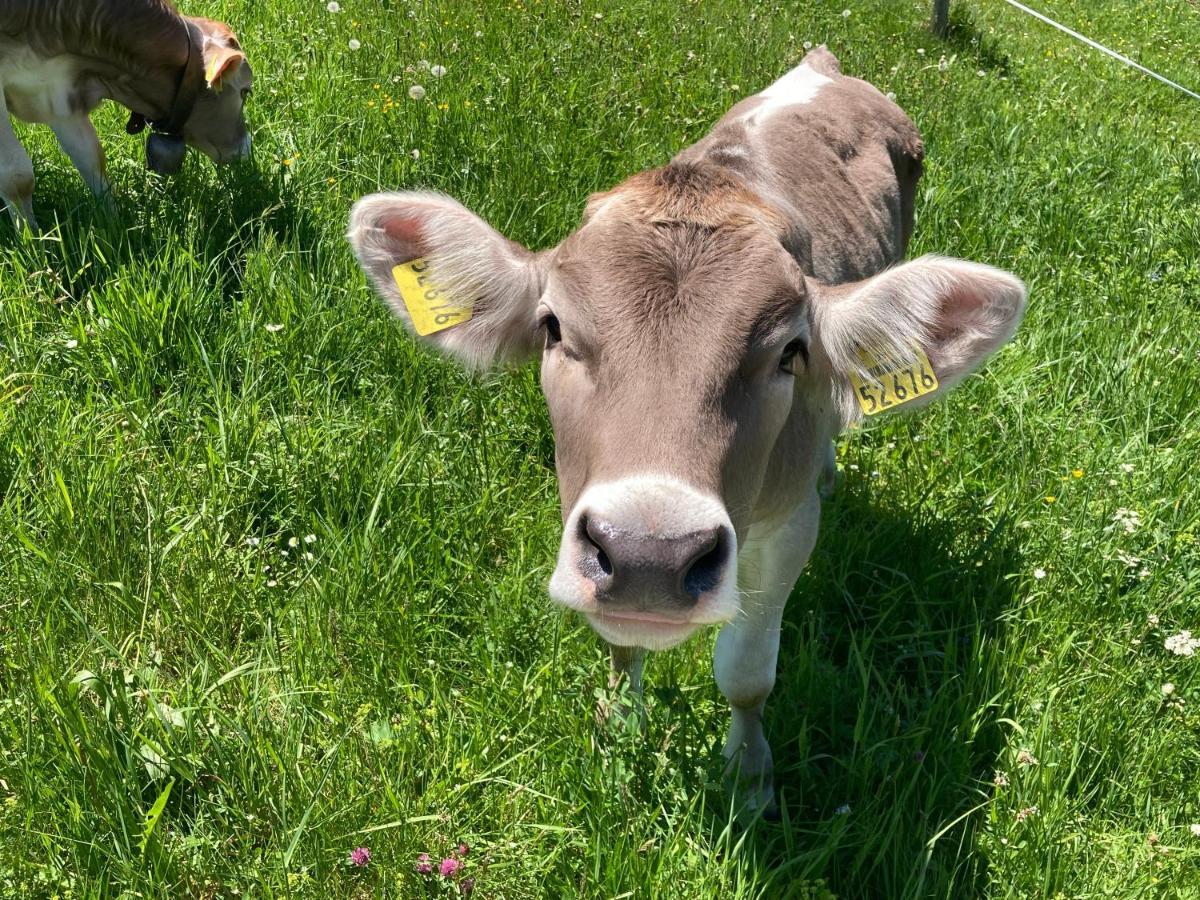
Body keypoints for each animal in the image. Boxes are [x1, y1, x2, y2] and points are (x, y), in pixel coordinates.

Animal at [0, 0, 253, 229]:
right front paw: (32, 239)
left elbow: (91, 158)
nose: (247, 148)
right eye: (245, 91)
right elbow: (17, 177)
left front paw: (114, 225)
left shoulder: (57, 90)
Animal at [345, 45, 1022, 820]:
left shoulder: (788, 528)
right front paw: (618, 731)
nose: (649, 557)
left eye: (790, 351)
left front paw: (749, 777)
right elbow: (619, 651)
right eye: (553, 327)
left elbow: (748, 670)